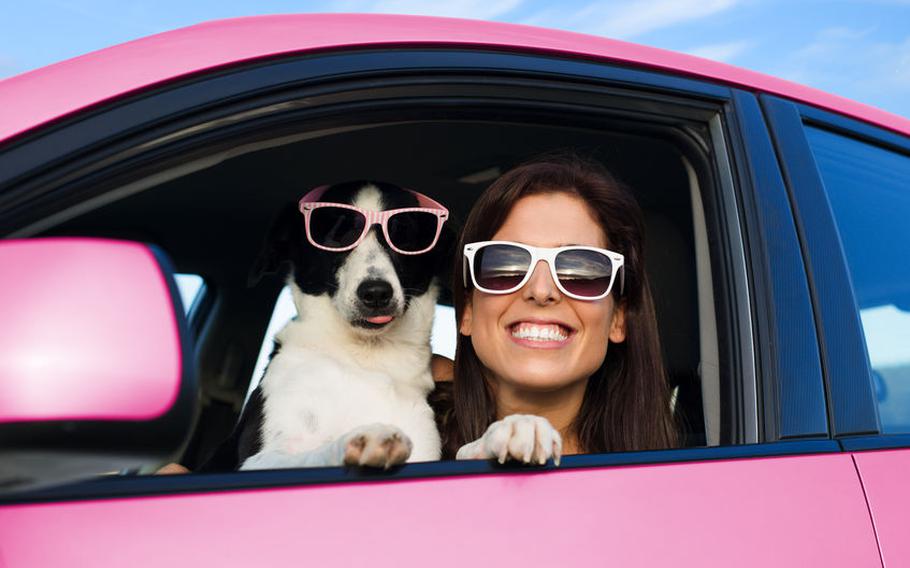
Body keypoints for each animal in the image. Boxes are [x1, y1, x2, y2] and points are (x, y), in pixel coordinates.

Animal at [215, 182, 456, 470]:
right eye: (336, 233)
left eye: (404, 233)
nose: (376, 293)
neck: (366, 359)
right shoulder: (257, 460)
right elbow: (311, 454)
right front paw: (360, 442)